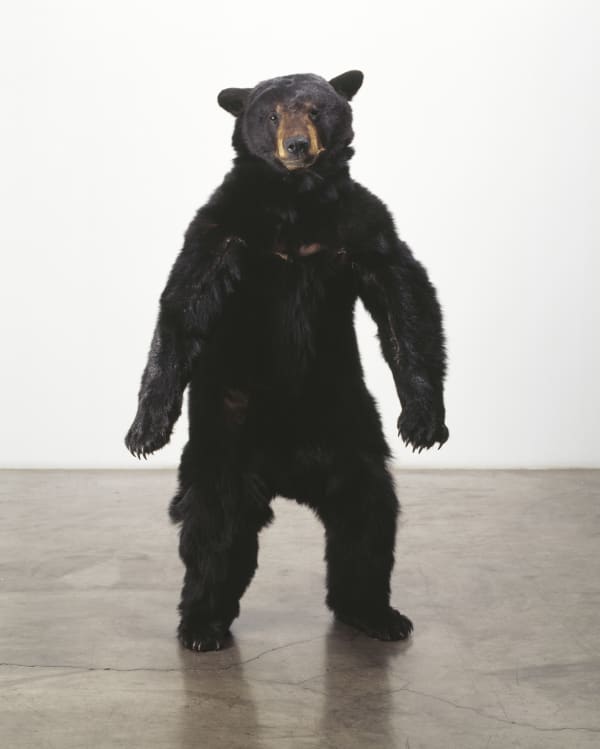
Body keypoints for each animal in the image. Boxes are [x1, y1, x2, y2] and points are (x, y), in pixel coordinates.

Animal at [125, 70, 448, 652]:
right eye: (271, 114)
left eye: (316, 110)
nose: (297, 146)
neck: (296, 201)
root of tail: (286, 473)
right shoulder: (222, 226)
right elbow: (184, 302)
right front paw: (146, 429)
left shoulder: (362, 223)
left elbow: (403, 293)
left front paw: (423, 420)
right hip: (224, 439)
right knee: (213, 526)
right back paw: (202, 624)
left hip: (350, 432)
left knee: (367, 517)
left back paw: (375, 613)